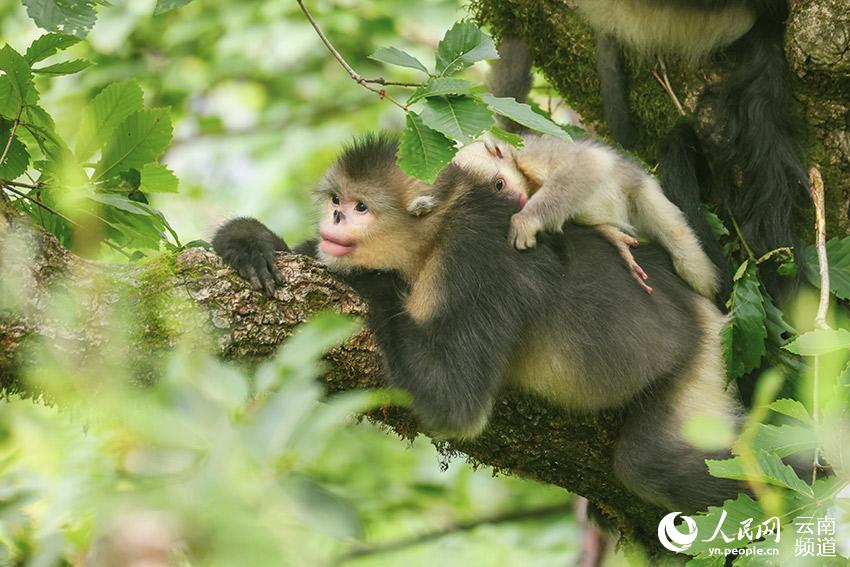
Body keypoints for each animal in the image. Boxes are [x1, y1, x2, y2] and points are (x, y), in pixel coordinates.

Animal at [410, 134, 716, 298]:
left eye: (499, 185)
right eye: (495, 195)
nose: (516, 202)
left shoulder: (532, 155)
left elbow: (589, 163)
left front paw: (526, 220)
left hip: (642, 194)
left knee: (688, 261)